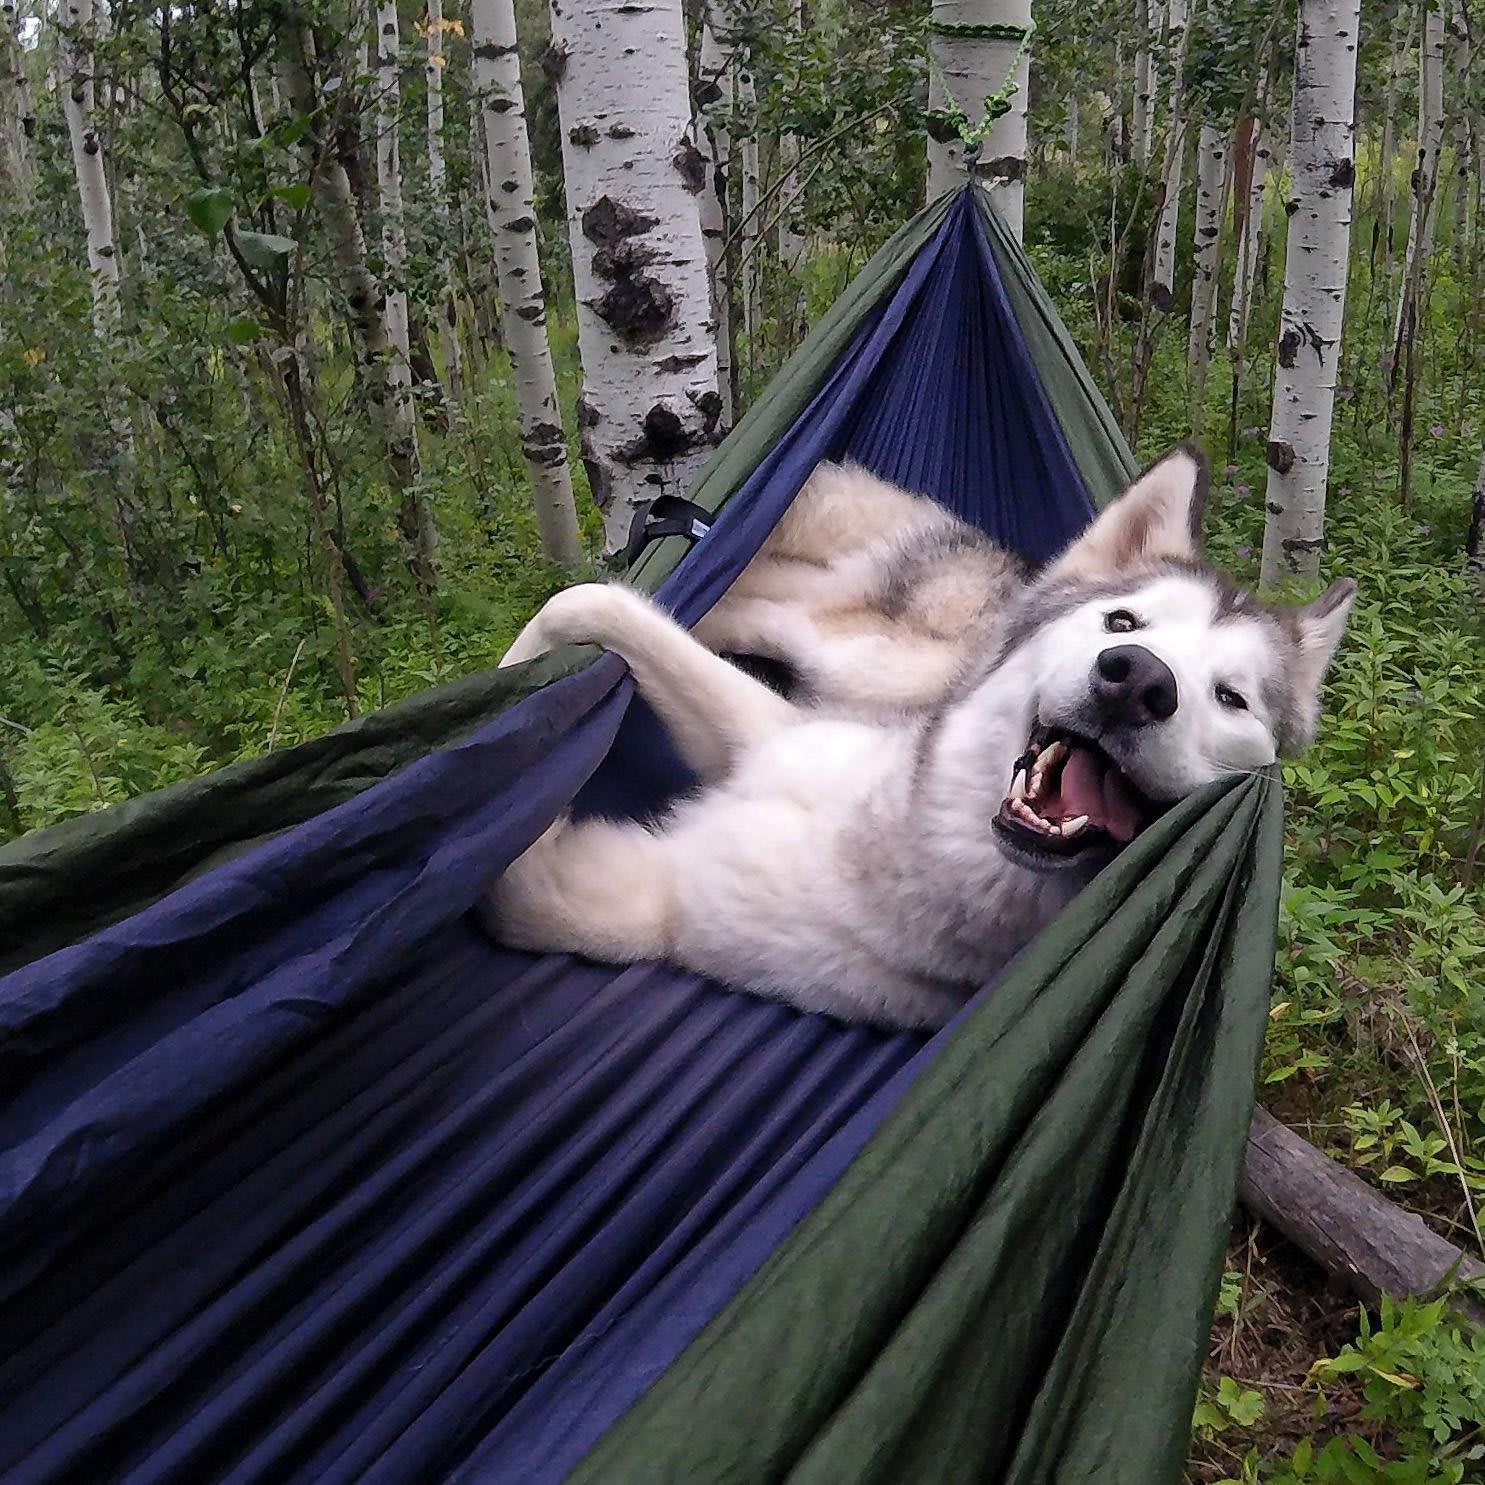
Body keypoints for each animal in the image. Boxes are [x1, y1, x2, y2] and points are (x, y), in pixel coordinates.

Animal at [490, 445, 1360, 1033]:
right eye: (1123, 623)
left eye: (1230, 698)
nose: (1136, 680)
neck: (898, 847)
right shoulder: (769, 729)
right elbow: (590, 604)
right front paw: (514, 689)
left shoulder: (644, 900)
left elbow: (520, 877)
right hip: (850, 655)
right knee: (746, 602)